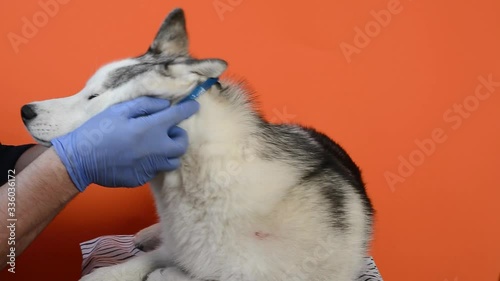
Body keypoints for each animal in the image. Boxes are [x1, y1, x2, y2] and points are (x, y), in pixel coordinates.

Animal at [24, 8, 376, 280]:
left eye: (93, 96)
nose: (26, 110)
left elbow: (185, 274)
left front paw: (165, 272)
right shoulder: (178, 248)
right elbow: (128, 266)